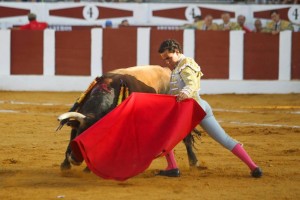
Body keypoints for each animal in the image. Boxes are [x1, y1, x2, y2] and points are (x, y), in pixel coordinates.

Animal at [56, 65, 202, 172]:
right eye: (80, 133)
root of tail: (168, 72)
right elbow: (71, 138)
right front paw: (65, 164)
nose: (75, 159)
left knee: (185, 137)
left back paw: (193, 161)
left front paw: (90, 168)